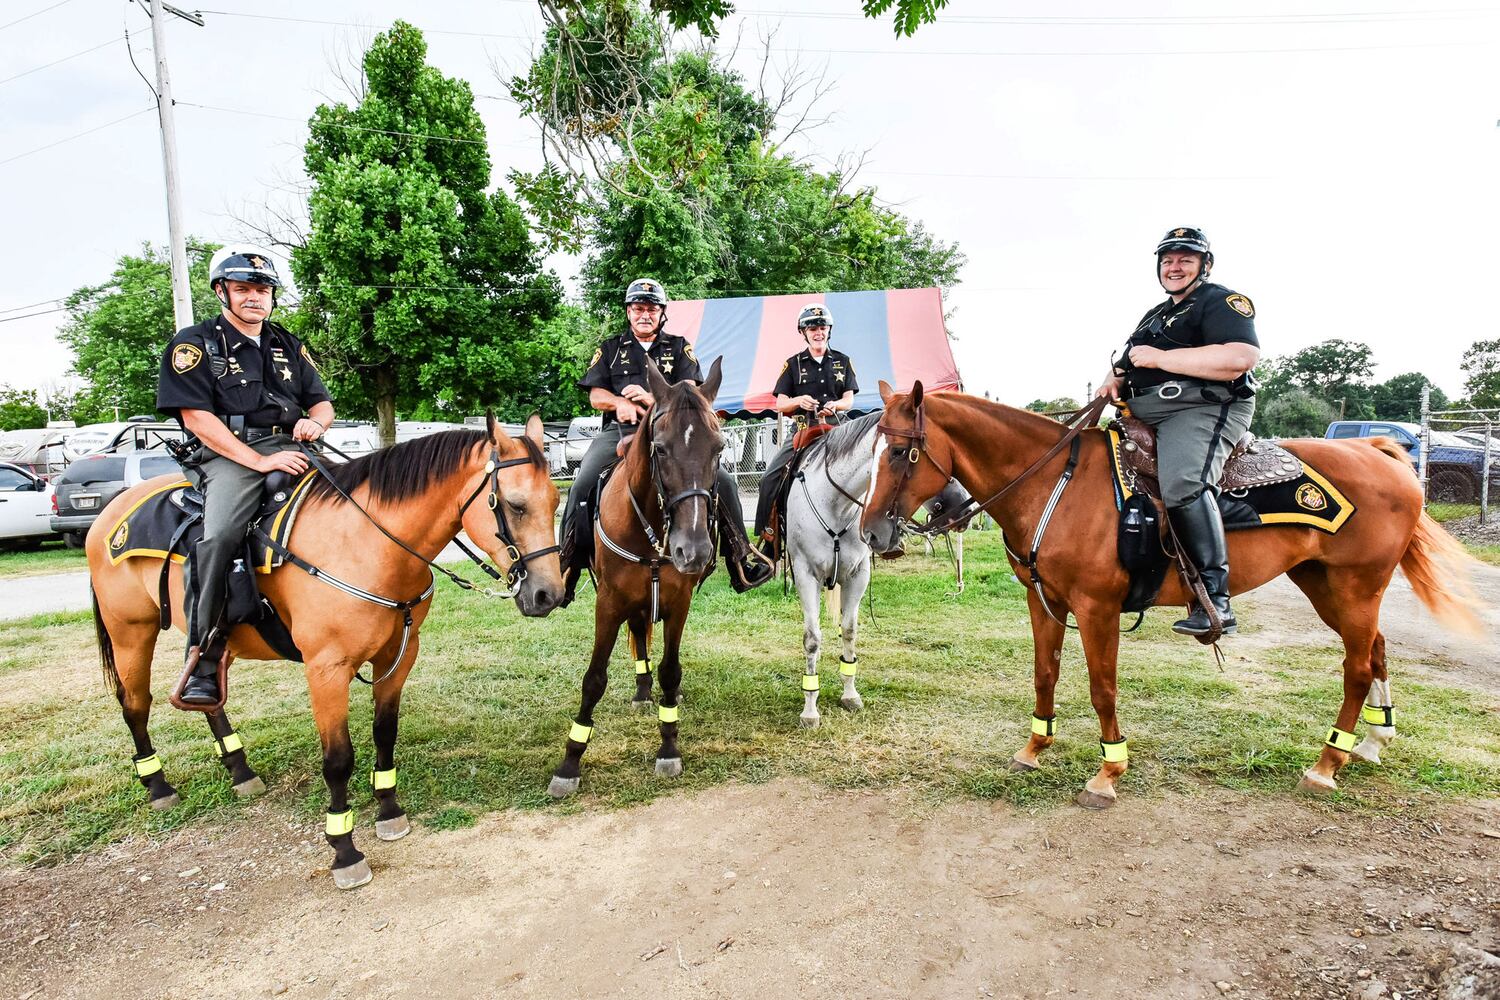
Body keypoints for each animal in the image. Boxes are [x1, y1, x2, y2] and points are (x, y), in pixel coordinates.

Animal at [90, 419, 564, 887]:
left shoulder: (399, 655)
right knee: (135, 703)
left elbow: (384, 733)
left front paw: (389, 811)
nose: (548, 595)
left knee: (207, 690)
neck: (366, 545)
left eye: (556, 500)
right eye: (516, 505)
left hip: (209, 637)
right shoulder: (327, 669)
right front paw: (344, 849)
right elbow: (338, 759)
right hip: (131, 632)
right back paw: (158, 786)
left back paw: (240, 769)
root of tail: (111, 513)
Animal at [552, 358, 726, 797]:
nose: (693, 550)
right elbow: (594, 679)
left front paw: (669, 745)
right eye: (660, 448)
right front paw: (570, 762)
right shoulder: (609, 603)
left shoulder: (679, 603)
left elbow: (670, 669)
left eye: (718, 448)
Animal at [864, 379, 1482, 809]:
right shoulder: (1044, 602)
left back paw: (1328, 761)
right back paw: (1371, 742)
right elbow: (1045, 674)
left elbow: (1102, 689)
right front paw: (1035, 748)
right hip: (1326, 585)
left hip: (1356, 588)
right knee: (1376, 651)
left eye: (898, 453)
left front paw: (1108, 772)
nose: (872, 534)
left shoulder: (1096, 609)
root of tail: (1380, 452)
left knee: (1356, 667)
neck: (1053, 484)